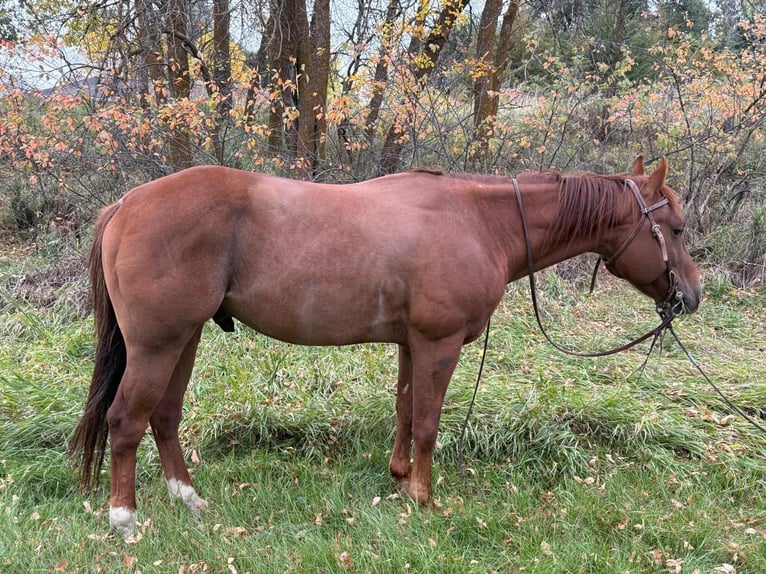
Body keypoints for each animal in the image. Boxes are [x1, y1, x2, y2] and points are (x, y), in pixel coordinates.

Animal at [69, 156, 701, 536]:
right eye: (674, 228)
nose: (691, 295)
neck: (479, 220)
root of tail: (126, 204)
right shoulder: (439, 343)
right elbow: (427, 421)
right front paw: (423, 497)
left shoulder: (411, 343)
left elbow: (403, 409)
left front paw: (399, 478)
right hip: (158, 343)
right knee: (127, 420)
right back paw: (125, 518)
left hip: (186, 338)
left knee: (165, 417)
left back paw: (188, 499)